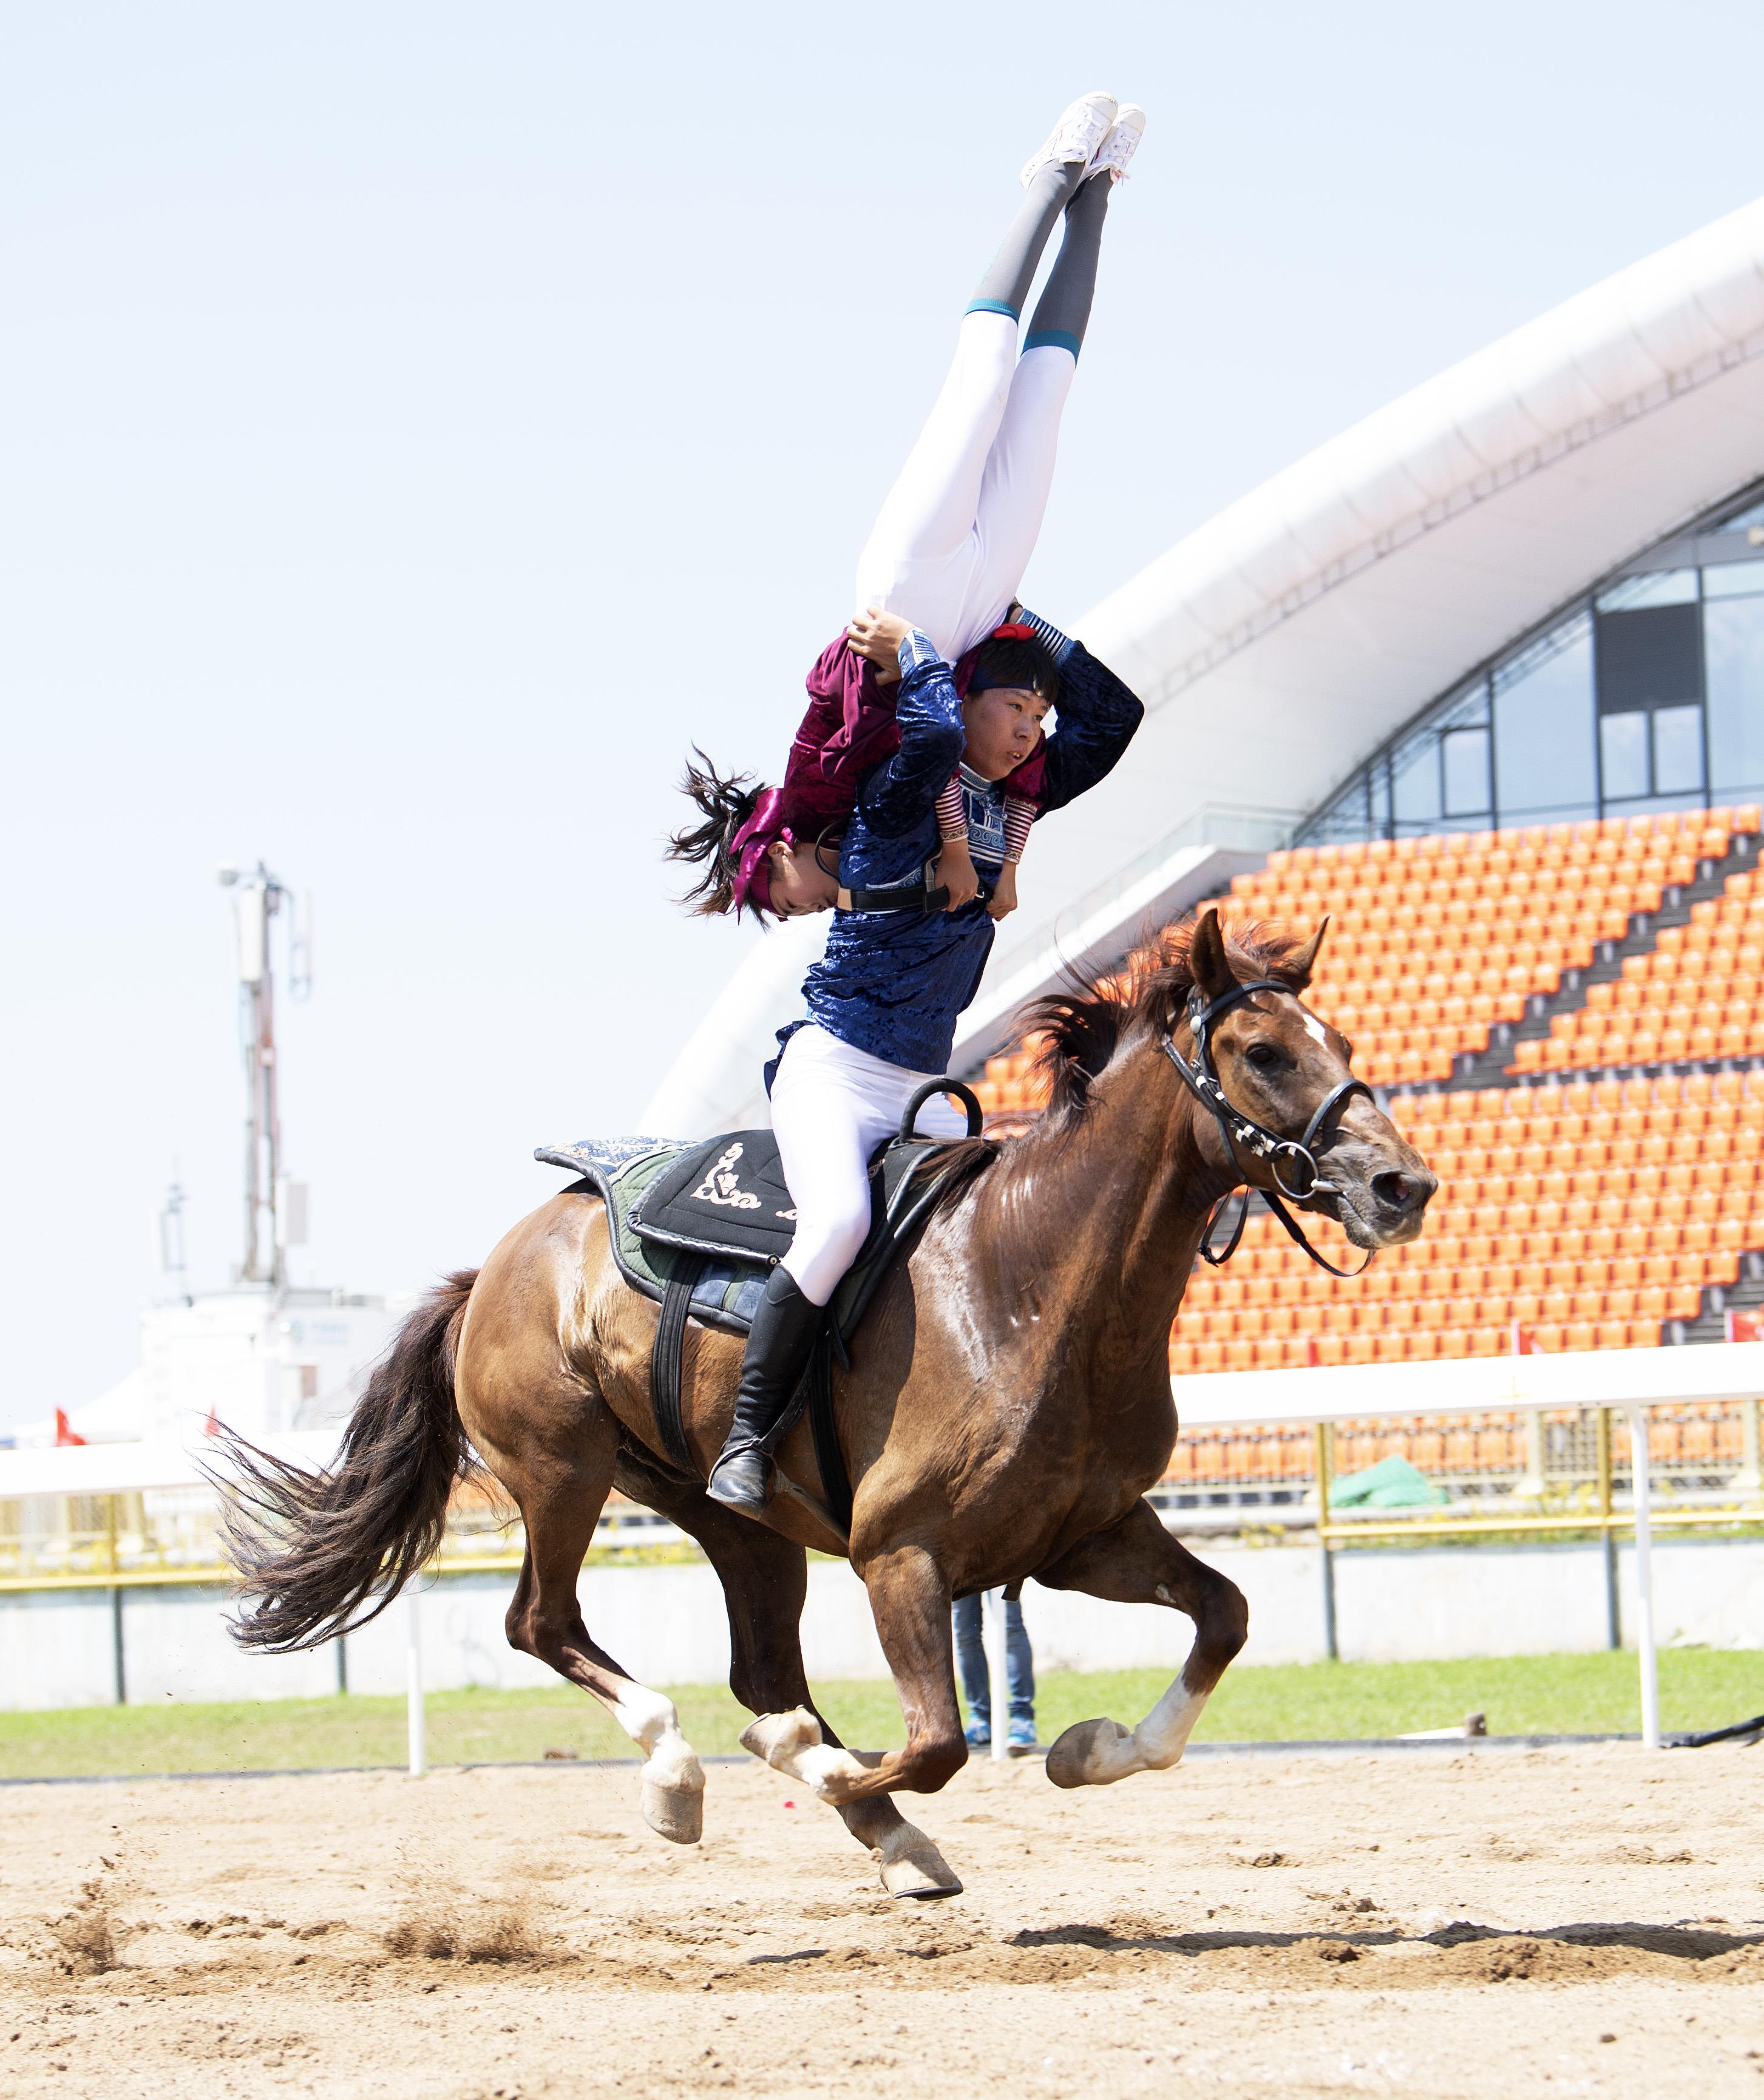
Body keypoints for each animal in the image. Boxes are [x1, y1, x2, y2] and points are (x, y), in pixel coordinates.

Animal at [220, 911, 1436, 1898]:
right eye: (1263, 1051)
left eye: (1345, 1046)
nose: (1403, 1185)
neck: (1030, 1281)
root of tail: (498, 1262)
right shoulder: (900, 1554)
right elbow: (937, 1741)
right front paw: (807, 1757)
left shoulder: (1083, 1536)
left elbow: (1222, 1613)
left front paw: (1086, 1748)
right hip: (563, 1471)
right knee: (545, 1623)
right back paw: (696, 1769)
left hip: (737, 1518)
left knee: (758, 1666)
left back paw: (872, 1820)